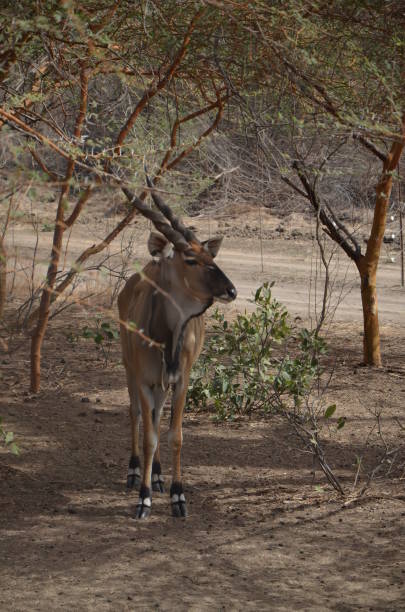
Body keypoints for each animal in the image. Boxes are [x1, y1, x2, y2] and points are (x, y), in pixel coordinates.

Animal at [118, 179, 235, 520]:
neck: (165, 338)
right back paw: (136, 472)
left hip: (163, 385)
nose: (231, 290)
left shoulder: (180, 380)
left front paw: (177, 496)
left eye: (210, 255)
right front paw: (143, 500)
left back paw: (157, 475)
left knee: (156, 417)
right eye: (190, 259)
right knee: (137, 415)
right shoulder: (144, 380)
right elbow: (150, 435)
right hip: (129, 369)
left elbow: (175, 435)